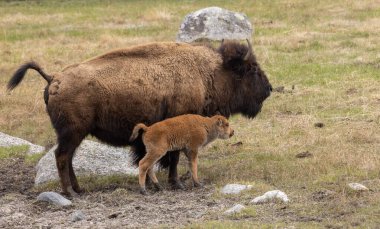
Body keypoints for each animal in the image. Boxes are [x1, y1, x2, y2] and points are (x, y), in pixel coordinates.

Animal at [7, 39, 272, 195]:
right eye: (252, 70)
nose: (269, 89)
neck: (207, 73)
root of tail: (54, 78)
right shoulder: (176, 129)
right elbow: (174, 158)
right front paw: (176, 183)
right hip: (72, 132)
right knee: (62, 157)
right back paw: (70, 193)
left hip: (74, 134)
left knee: (67, 158)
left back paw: (79, 189)